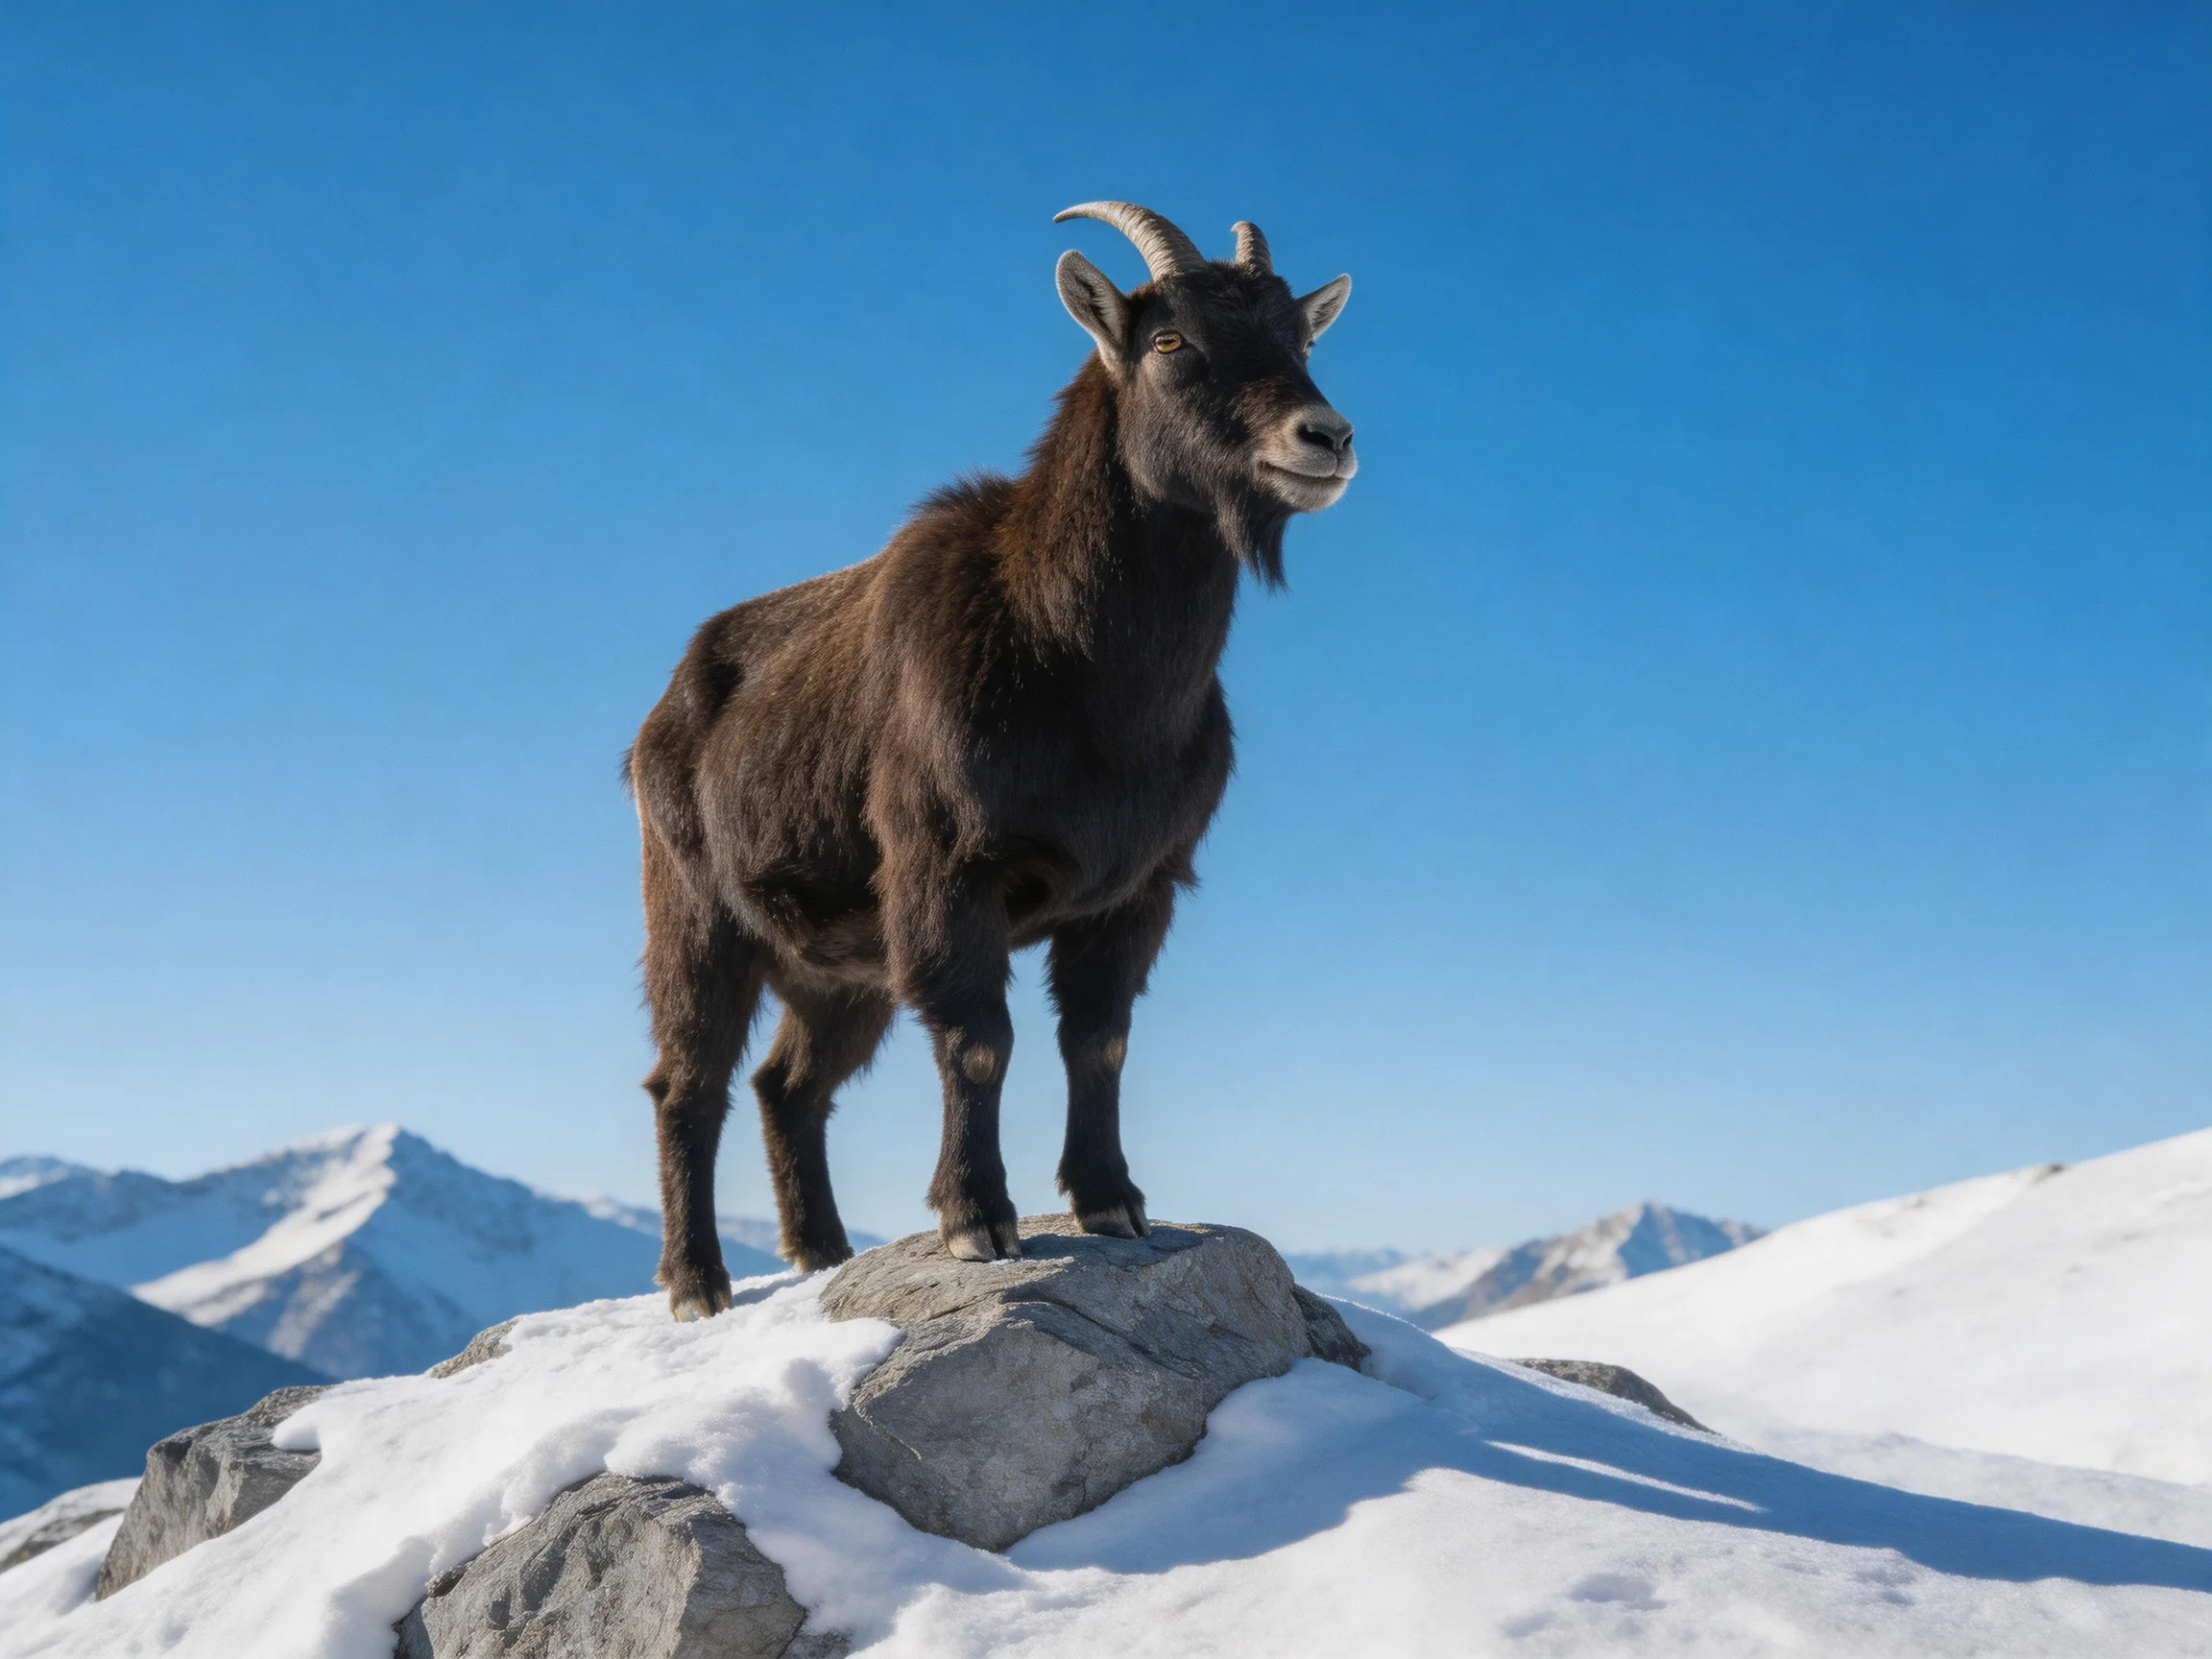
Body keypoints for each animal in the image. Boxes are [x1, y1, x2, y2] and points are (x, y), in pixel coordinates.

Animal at [630, 202, 1356, 1317]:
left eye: (1302, 341)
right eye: (1169, 340)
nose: (1324, 438)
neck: (1077, 661)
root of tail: (661, 714)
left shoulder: (1136, 889)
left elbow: (1098, 1040)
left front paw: (1112, 1202)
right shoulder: (945, 870)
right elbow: (980, 1042)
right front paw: (977, 1220)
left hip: (841, 972)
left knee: (787, 1085)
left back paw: (822, 1251)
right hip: (699, 918)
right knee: (689, 1082)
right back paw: (698, 1283)